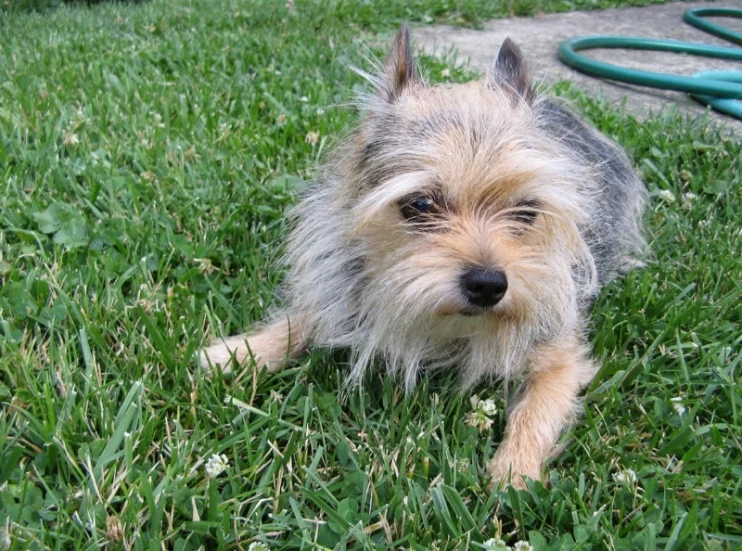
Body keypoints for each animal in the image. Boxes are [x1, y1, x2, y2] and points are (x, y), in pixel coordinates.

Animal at [201, 25, 648, 490]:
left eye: (527, 213)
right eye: (419, 205)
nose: (489, 284)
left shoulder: (560, 352)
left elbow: (539, 406)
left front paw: (514, 470)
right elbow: (308, 316)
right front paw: (240, 352)